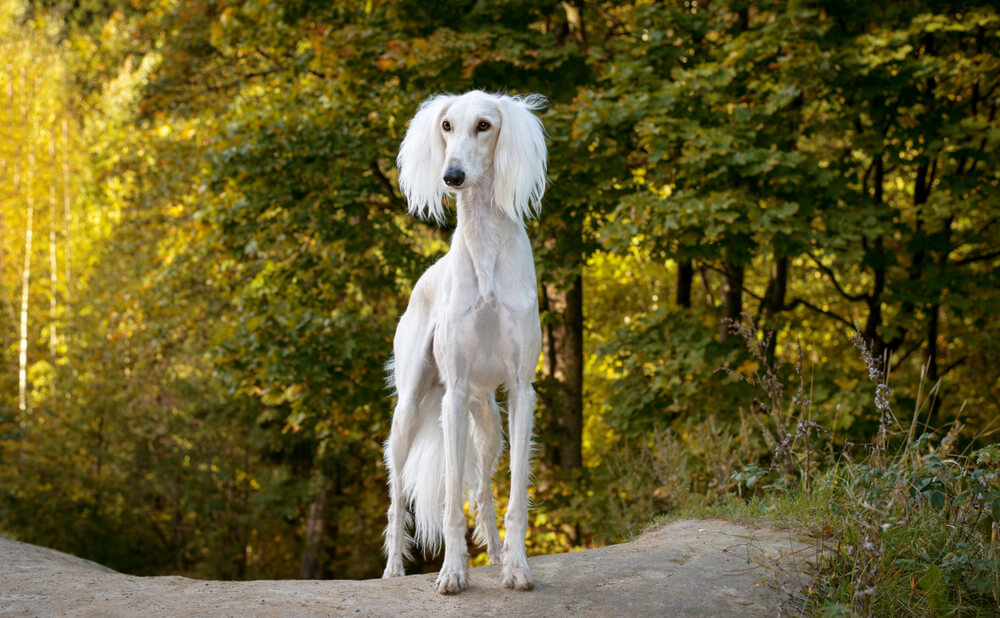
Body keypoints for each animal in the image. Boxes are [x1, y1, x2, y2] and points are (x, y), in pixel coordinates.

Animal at [384, 90, 548, 592]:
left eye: (484, 125)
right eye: (446, 126)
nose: (452, 175)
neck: (485, 248)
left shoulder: (521, 390)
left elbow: (512, 496)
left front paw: (516, 566)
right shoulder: (453, 392)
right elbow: (450, 499)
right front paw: (453, 571)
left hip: (489, 423)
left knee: (482, 489)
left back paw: (495, 553)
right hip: (410, 410)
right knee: (397, 495)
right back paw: (393, 568)